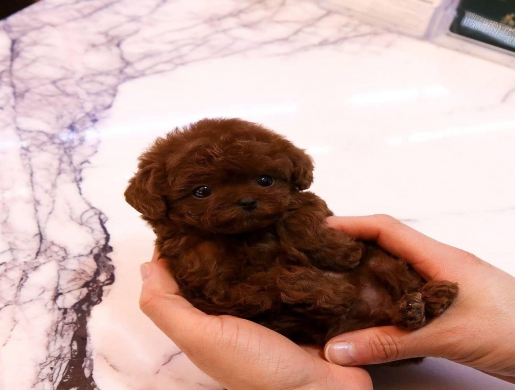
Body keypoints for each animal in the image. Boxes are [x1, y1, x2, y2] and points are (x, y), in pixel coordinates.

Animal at [126, 118, 460, 350]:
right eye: (201, 191)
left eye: (265, 180)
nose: (247, 201)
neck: (245, 236)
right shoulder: (219, 289)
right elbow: (278, 278)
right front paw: (335, 292)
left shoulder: (307, 204)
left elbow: (299, 213)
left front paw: (341, 252)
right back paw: (411, 309)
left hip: (382, 261)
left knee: (401, 277)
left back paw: (431, 298)